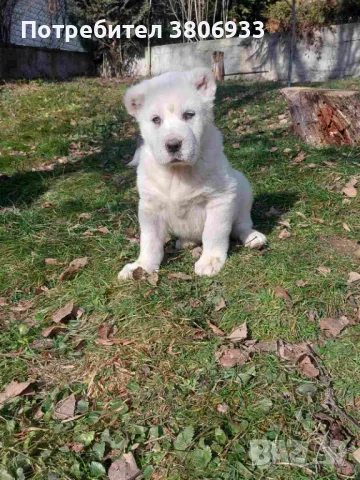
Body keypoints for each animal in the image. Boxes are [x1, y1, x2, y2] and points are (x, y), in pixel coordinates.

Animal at [118, 67, 264, 278]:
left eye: (189, 115)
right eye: (156, 120)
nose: (173, 145)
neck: (178, 173)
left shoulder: (220, 198)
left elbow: (214, 233)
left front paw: (210, 261)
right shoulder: (150, 207)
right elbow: (149, 241)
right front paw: (142, 266)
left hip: (242, 186)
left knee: (240, 225)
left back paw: (252, 237)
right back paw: (185, 242)